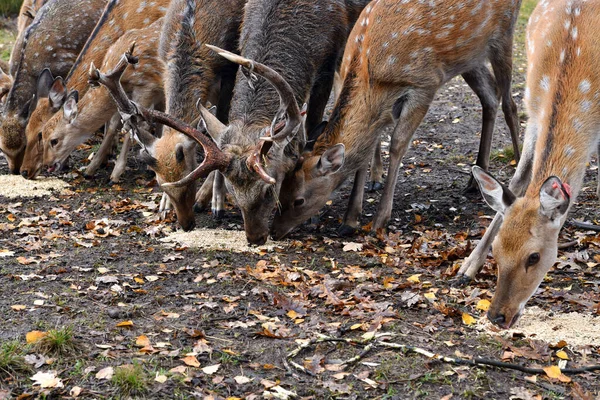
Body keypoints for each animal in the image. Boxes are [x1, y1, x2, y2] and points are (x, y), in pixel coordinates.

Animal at [19, 0, 169, 180]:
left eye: (40, 135)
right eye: (27, 130)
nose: (24, 171)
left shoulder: (148, 85)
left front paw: (118, 171)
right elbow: (115, 123)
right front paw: (94, 166)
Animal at [270, 0, 524, 241]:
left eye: (299, 200)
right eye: (281, 191)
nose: (274, 232)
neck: (369, 70)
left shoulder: (425, 83)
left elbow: (397, 144)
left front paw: (379, 221)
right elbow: (367, 149)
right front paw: (349, 220)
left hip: (504, 34)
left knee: (510, 104)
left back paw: (518, 171)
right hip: (470, 56)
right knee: (490, 95)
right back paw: (474, 180)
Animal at [454, 0, 600, 328]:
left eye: (534, 257)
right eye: (496, 251)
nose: (497, 316)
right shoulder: (534, 110)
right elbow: (517, 180)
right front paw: (466, 267)